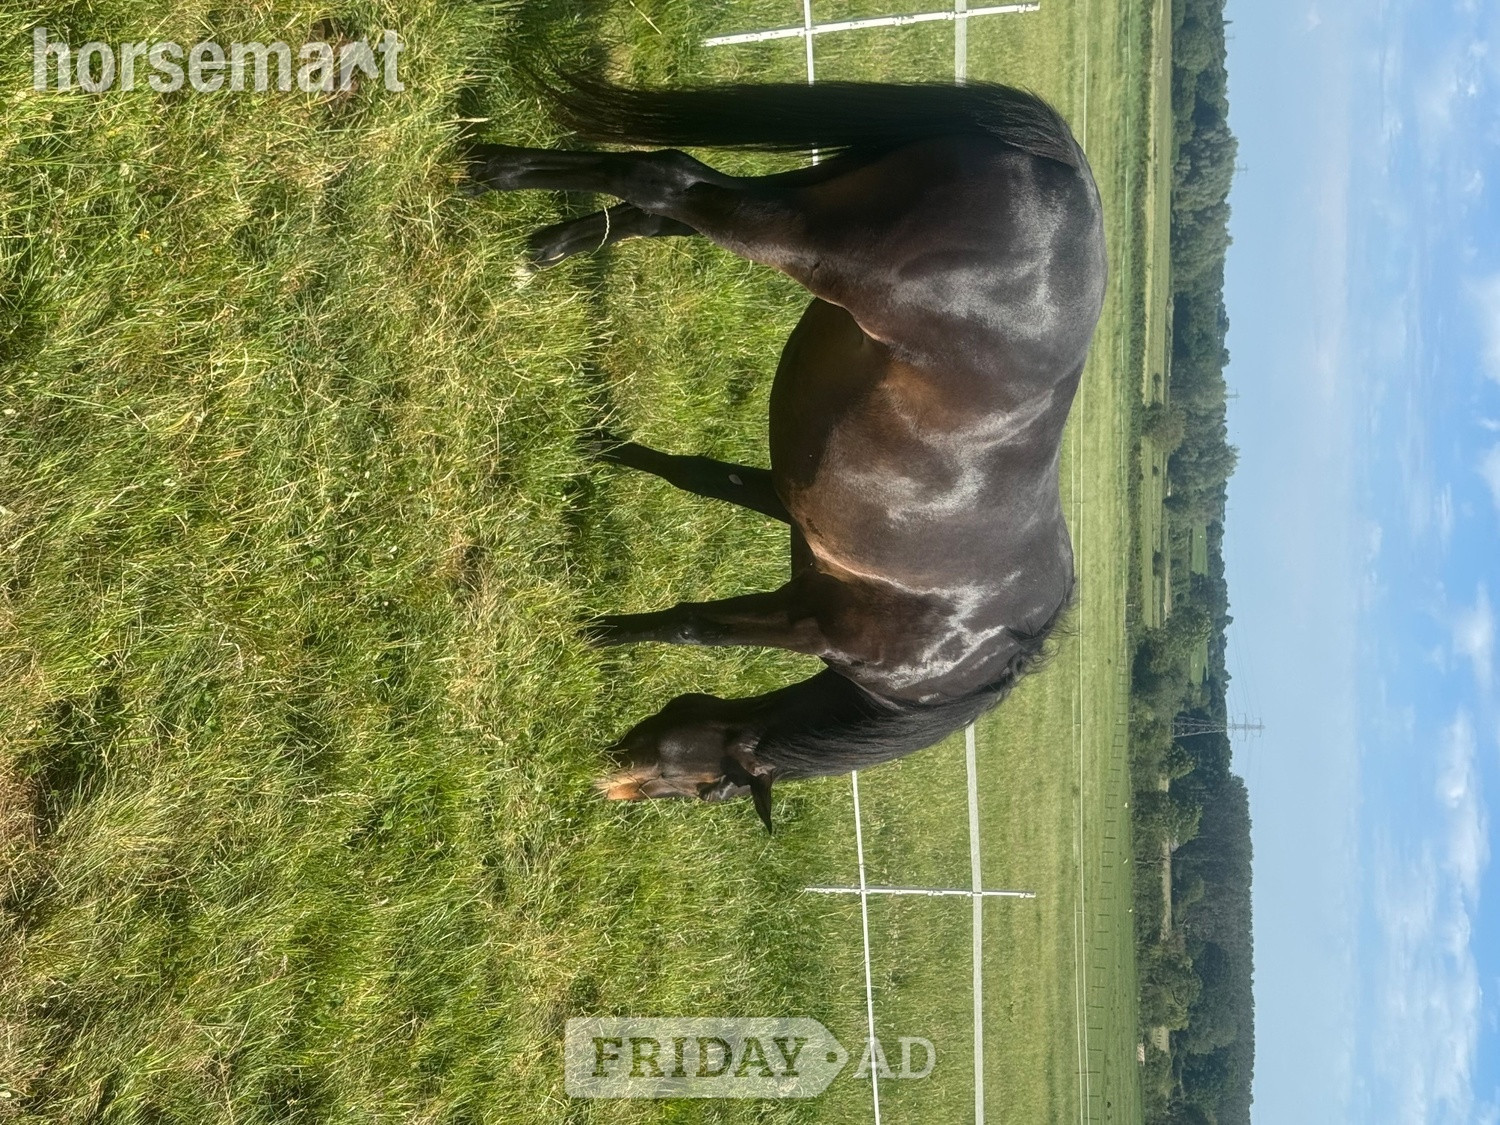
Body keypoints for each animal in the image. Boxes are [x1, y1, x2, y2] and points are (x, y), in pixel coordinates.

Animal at [467, 74, 1106, 830]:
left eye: (701, 789)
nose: (610, 783)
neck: (953, 657)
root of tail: (1065, 173)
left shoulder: (789, 522)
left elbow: (693, 491)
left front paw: (598, 451)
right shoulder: (811, 623)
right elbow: (695, 627)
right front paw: (597, 630)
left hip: (820, 189)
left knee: (670, 202)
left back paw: (541, 235)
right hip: (805, 238)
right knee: (668, 183)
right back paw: (491, 172)